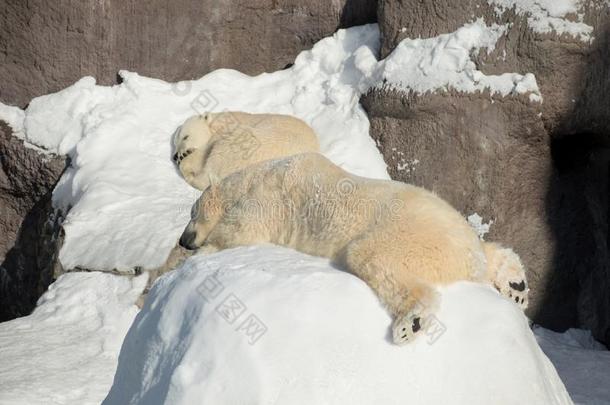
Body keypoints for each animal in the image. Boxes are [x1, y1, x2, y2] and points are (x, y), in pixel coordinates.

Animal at [177, 153, 528, 342]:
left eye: (192, 214)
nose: (183, 239)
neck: (256, 174)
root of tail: (469, 257)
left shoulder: (271, 197)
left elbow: (243, 228)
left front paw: (200, 254)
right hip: (456, 235)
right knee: (494, 252)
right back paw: (517, 286)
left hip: (410, 235)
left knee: (374, 259)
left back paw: (410, 323)